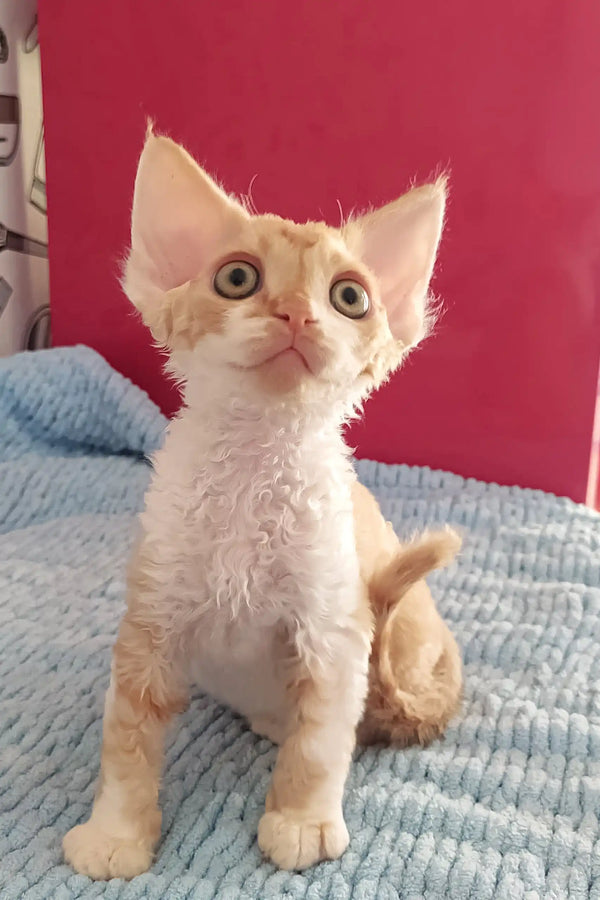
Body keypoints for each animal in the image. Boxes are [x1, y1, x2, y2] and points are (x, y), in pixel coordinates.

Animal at [63, 130, 462, 876]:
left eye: (349, 297)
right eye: (237, 279)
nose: (298, 314)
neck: (253, 466)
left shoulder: (336, 627)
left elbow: (322, 740)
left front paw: (300, 822)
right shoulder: (150, 619)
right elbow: (126, 738)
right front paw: (115, 834)